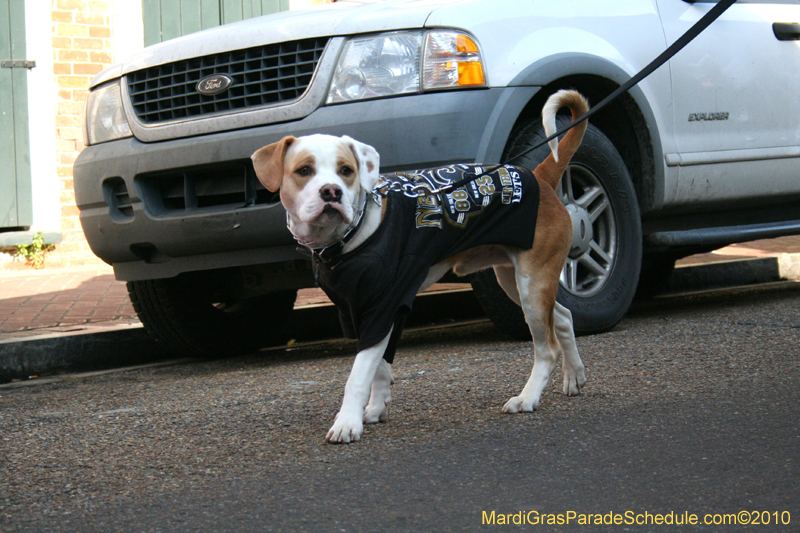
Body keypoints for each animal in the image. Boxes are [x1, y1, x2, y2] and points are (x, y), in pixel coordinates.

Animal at [253, 91, 592, 444]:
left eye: (346, 170)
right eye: (304, 170)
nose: (331, 191)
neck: (349, 237)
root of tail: (538, 177)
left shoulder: (383, 306)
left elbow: (359, 372)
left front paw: (348, 422)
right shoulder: (362, 311)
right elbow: (379, 364)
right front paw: (377, 406)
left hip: (531, 285)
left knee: (547, 348)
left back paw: (527, 398)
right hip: (519, 281)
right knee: (564, 317)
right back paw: (575, 376)